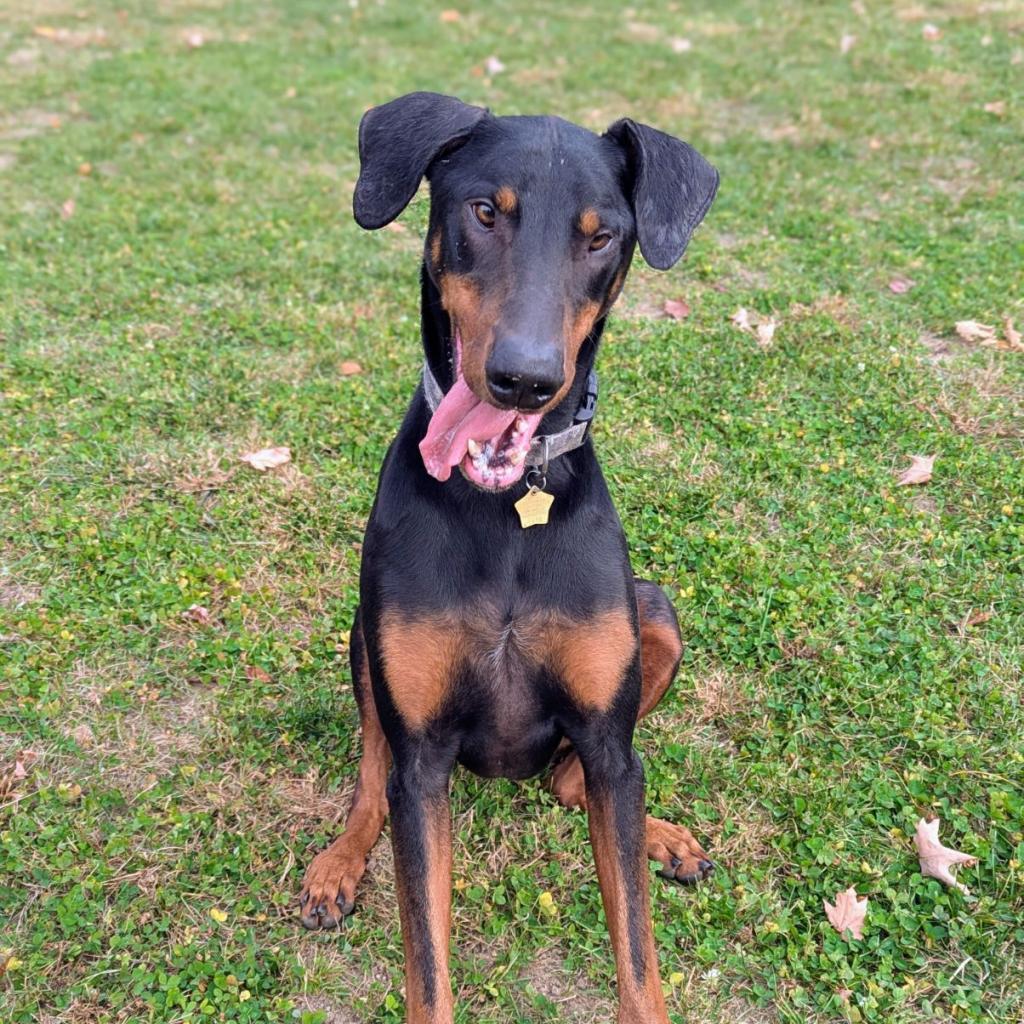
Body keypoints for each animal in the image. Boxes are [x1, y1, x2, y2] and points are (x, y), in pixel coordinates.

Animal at [299, 92, 720, 1019]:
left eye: (603, 237)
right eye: (484, 212)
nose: (524, 379)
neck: (504, 509)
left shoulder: (608, 741)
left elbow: (638, 958)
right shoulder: (423, 762)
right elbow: (426, 964)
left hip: (656, 613)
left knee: (576, 784)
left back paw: (662, 837)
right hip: (362, 639)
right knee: (370, 772)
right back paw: (339, 865)